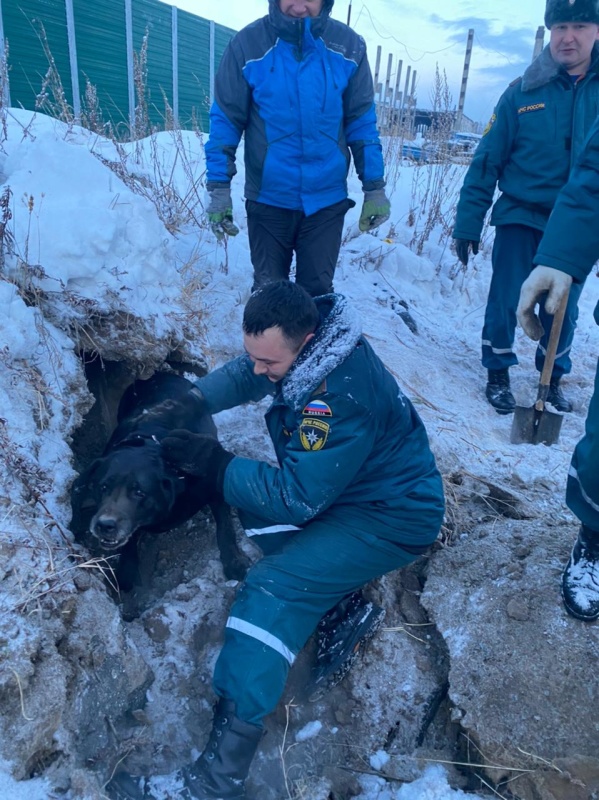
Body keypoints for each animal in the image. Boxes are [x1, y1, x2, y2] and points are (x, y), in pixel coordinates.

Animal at [71, 372, 250, 592]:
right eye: (103, 487)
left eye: (139, 492)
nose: (105, 525)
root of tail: (160, 374)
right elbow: (129, 543)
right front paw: (126, 572)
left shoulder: (213, 484)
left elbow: (225, 528)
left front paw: (234, 562)